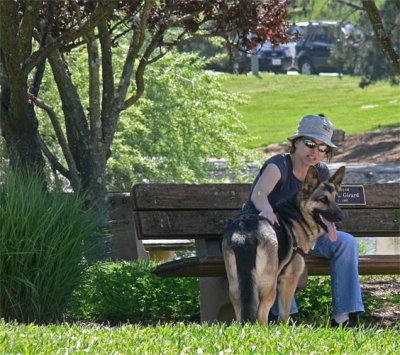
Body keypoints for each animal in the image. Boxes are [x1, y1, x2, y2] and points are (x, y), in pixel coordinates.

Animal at [222, 165, 346, 324]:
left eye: (336, 199)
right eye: (323, 199)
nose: (341, 217)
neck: (300, 214)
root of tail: (245, 232)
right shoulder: (289, 280)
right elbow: (284, 315)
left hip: (236, 288)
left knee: (240, 316)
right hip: (269, 287)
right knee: (261, 316)